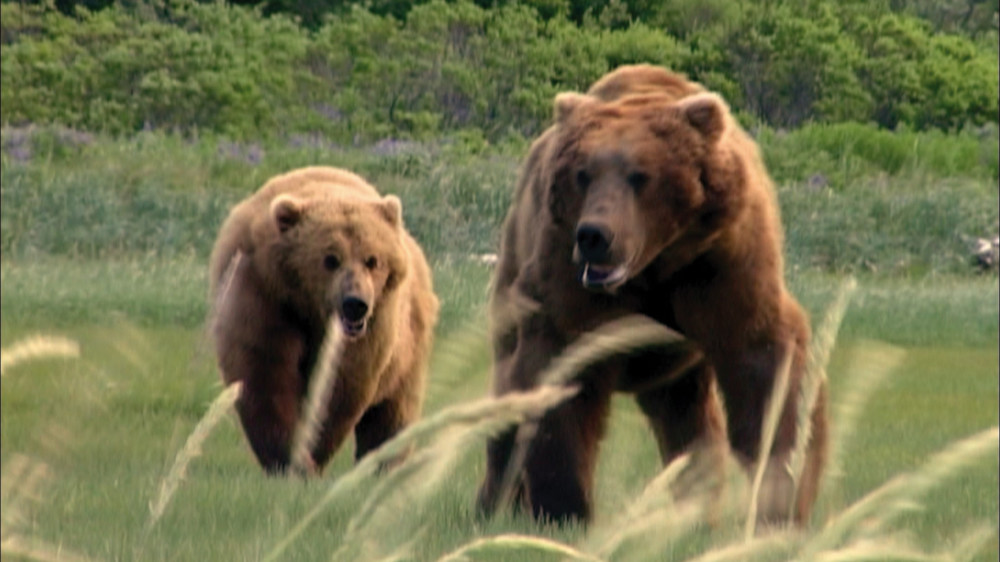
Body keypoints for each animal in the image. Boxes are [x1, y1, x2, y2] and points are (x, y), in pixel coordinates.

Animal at [210, 164, 438, 470]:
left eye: (373, 260)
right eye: (330, 259)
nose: (355, 304)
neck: (311, 308)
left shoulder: (372, 328)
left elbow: (337, 387)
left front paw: (312, 452)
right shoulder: (264, 297)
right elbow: (265, 375)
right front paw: (288, 458)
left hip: (407, 349)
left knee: (394, 410)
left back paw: (385, 462)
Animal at [478, 66, 828, 524]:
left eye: (639, 175)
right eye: (583, 174)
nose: (594, 236)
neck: (654, 265)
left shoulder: (723, 264)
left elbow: (765, 364)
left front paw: (781, 500)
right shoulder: (569, 280)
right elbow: (562, 375)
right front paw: (565, 510)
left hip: (676, 366)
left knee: (689, 420)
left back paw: (696, 507)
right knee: (507, 394)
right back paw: (493, 503)